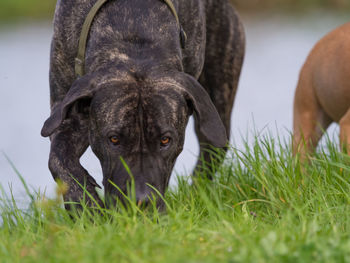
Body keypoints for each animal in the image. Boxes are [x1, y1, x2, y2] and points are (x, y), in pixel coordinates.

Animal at [41, 0, 245, 210]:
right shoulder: (66, 113)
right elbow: (59, 159)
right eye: (114, 139)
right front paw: (85, 205)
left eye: (165, 140)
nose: (140, 200)